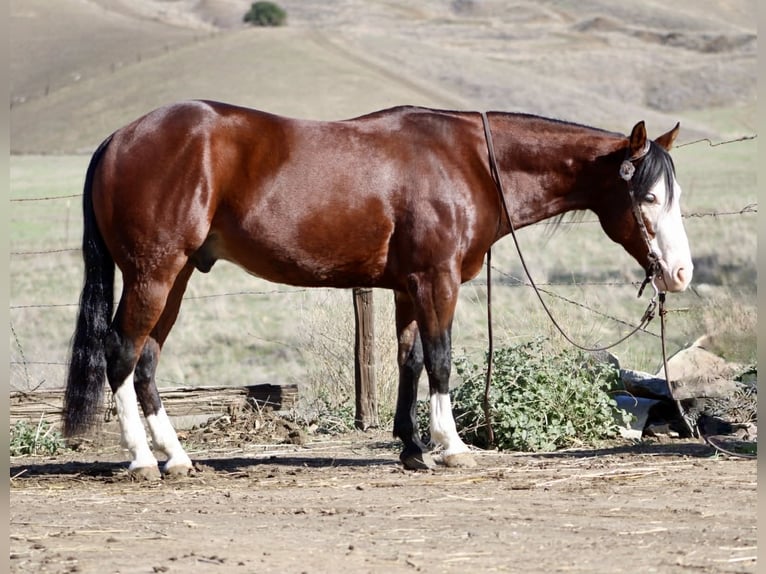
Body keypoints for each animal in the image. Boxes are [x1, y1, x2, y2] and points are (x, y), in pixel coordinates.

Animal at [62, 101, 693, 479]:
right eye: (649, 197)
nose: (681, 274)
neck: (470, 162)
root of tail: (119, 138)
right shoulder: (437, 279)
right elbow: (440, 359)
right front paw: (451, 446)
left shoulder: (407, 286)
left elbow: (409, 359)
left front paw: (412, 449)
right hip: (154, 273)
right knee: (121, 353)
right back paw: (142, 460)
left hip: (177, 277)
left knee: (146, 359)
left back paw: (176, 457)